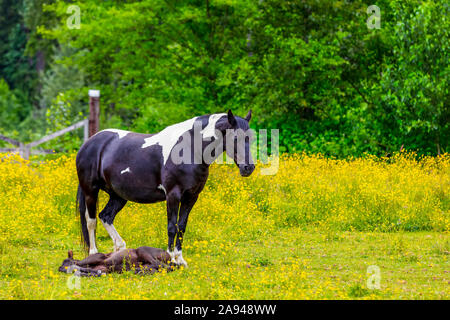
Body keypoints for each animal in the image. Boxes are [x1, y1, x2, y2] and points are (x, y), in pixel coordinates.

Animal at [75, 109, 255, 266]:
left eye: (250, 138)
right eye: (235, 138)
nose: (248, 168)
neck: (189, 149)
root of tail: (89, 142)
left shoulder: (191, 197)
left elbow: (181, 227)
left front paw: (180, 259)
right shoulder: (173, 195)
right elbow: (171, 227)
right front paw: (170, 259)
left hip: (118, 196)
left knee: (106, 216)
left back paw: (119, 249)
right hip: (90, 191)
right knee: (91, 221)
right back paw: (94, 253)